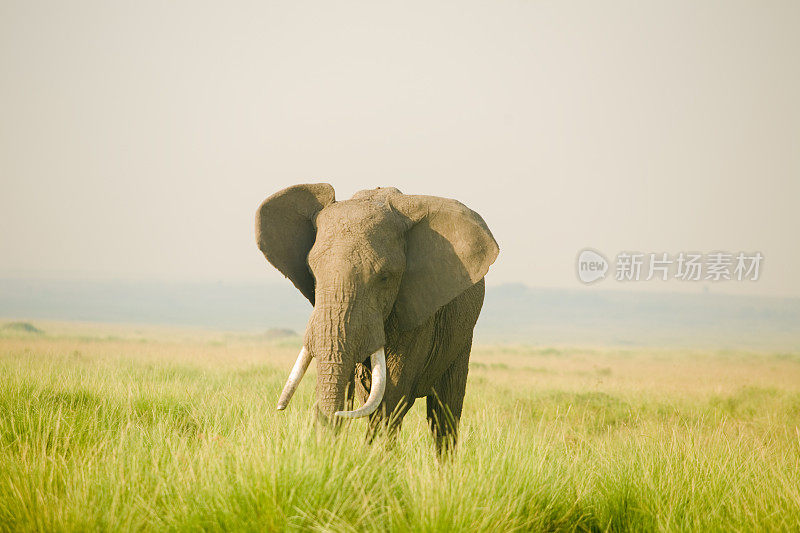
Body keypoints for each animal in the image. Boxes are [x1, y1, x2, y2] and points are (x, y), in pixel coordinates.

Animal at [255, 185, 500, 450]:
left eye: (384, 277)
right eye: (312, 272)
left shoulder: (417, 310)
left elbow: (391, 394)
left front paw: (374, 458)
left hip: (462, 336)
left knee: (444, 412)